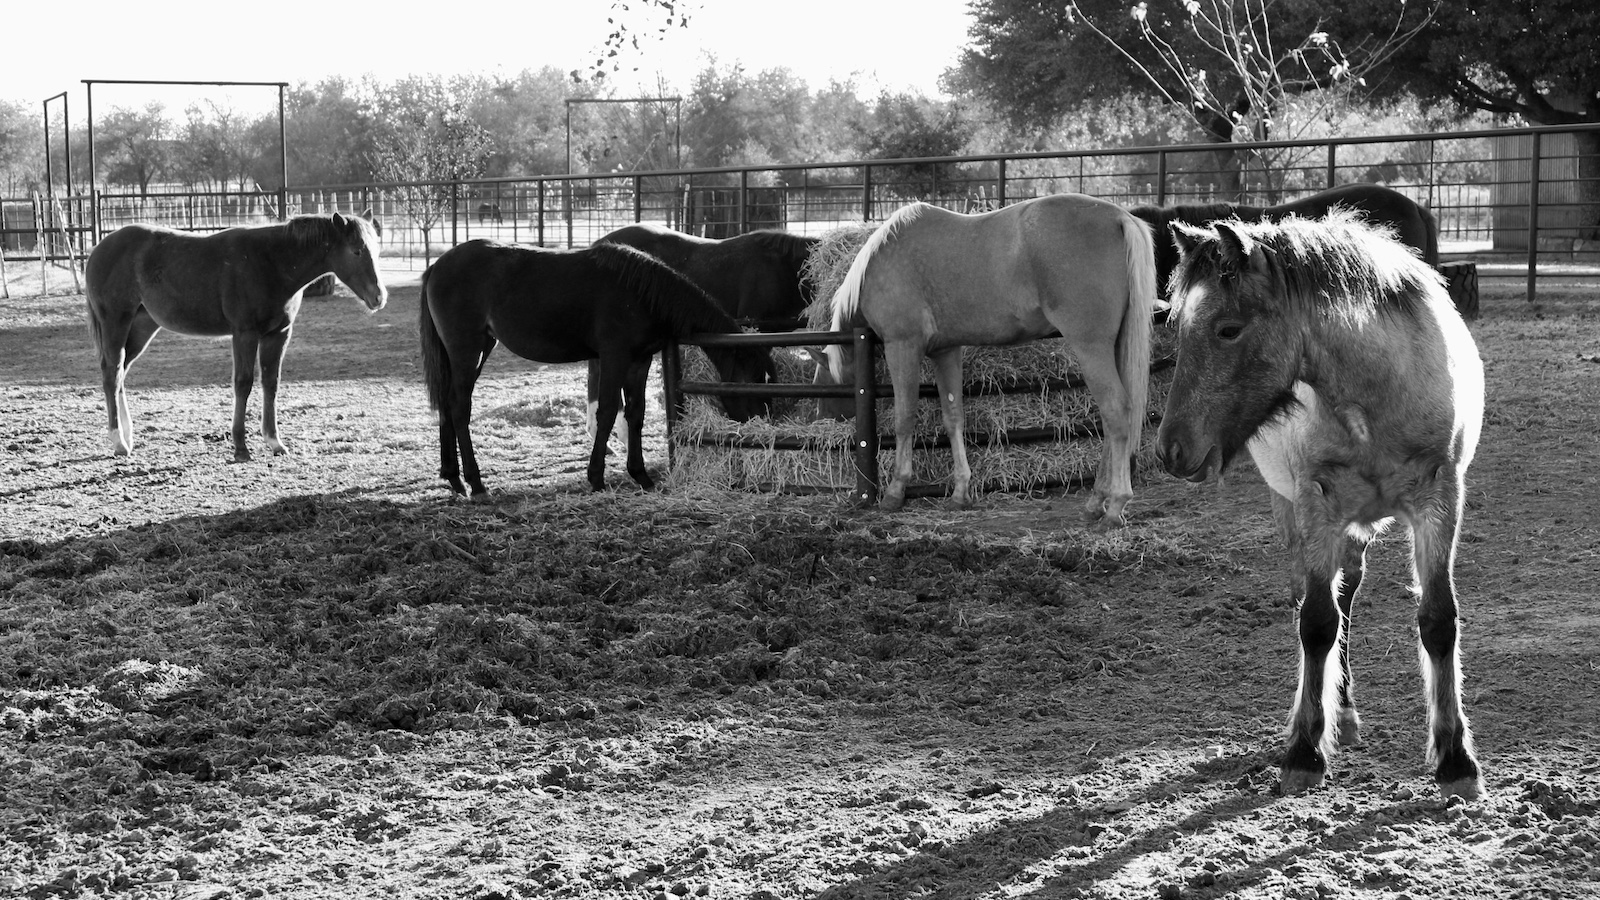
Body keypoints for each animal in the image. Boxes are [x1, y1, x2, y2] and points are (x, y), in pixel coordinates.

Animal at [85, 211, 387, 462]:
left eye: (377, 250)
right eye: (357, 251)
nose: (379, 297)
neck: (271, 262)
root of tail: (97, 249)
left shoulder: (277, 334)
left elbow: (271, 383)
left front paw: (275, 442)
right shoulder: (245, 333)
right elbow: (243, 383)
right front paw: (241, 447)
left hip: (142, 326)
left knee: (121, 372)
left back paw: (128, 436)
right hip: (116, 322)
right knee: (112, 373)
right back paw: (119, 442)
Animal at [418, 239, 776, 497]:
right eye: (753, 384)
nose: (762, 431)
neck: (640, 293)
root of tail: (436, 267)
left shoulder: (639, 360)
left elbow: (635, 414)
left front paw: (641, 476)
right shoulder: (614, 356)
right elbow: (606, 412)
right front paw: (597, 478)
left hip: (473, 351)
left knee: (448, 405)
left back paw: (454, 479)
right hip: (468, 350)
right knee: (458, 407)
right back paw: (476, 483)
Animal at [815, 193, 1157, 524]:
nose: (821, 420)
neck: (883, 259)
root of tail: (1119, 217)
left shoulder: (902, 346)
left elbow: (904, 418)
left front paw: (896, 492)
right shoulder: (945, 351)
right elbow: (954, 418)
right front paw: (960, 492)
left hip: (1091, 347)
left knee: (1115, 411)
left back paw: (1114, 505)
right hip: (1113, 347)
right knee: (1113, 420)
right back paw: (1097, 501)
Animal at [1154, 211, 1485, 800]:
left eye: (1229, 328)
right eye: (1177, 327)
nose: (1171, 451)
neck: (1376, 398)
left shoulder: (1440, 499)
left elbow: (1438, 620)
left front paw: (1455, 761)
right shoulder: (1315, 504)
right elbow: (1315, 623)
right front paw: (1305, 750)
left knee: (1347, 595)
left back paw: (1347, 715)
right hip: (1294, 512)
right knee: (1315, 601)